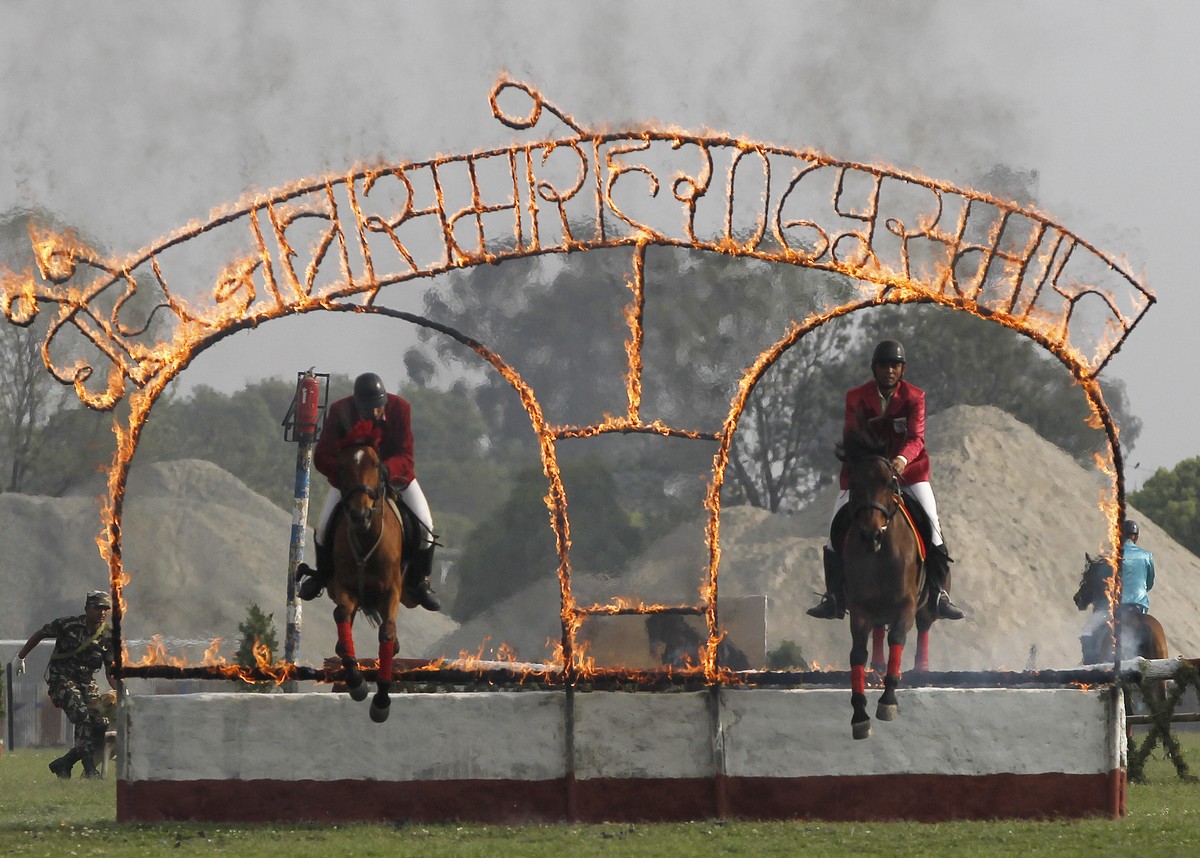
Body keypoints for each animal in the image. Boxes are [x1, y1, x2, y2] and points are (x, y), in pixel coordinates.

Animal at [326, 422, 415, 724]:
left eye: (376, 464)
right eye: (341, 466)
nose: (360, 515)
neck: (366, 537)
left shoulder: (392, 591)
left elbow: (387, 632)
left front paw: (382, 701)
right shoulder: (346, 588)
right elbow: (341, 616)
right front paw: (356, 683)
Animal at [835, 422, 936, 739]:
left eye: (891, 484)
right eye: (854, 485)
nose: (871, 535)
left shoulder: (906, 604)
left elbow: (898, 638)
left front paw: (888, 699)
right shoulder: (859, 607)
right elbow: (857, 652)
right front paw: (859, 713)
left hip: (926, 605)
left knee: (925, 624)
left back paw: (920, 667)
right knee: (878, 632)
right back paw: (878, 665)